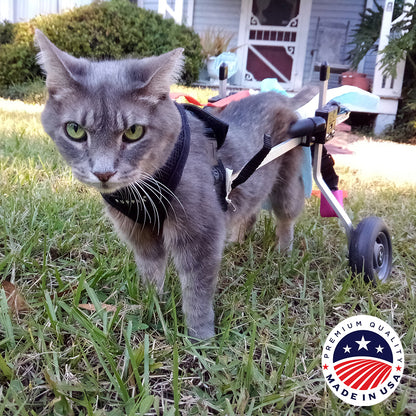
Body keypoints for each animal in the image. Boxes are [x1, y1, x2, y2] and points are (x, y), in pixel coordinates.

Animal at [36, 30, 312, 340]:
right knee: (247, 211)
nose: (103, 173)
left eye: (134, 132)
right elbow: (151, 272)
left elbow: (197, 289)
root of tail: (282, 98)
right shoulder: (139, 233)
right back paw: (237, 239)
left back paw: (284, 254)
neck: (144, 187)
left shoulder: (200, 231)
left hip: (287, 186)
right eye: (75, 130)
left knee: (285, 219)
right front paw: (153, 305)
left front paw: (200, 336)